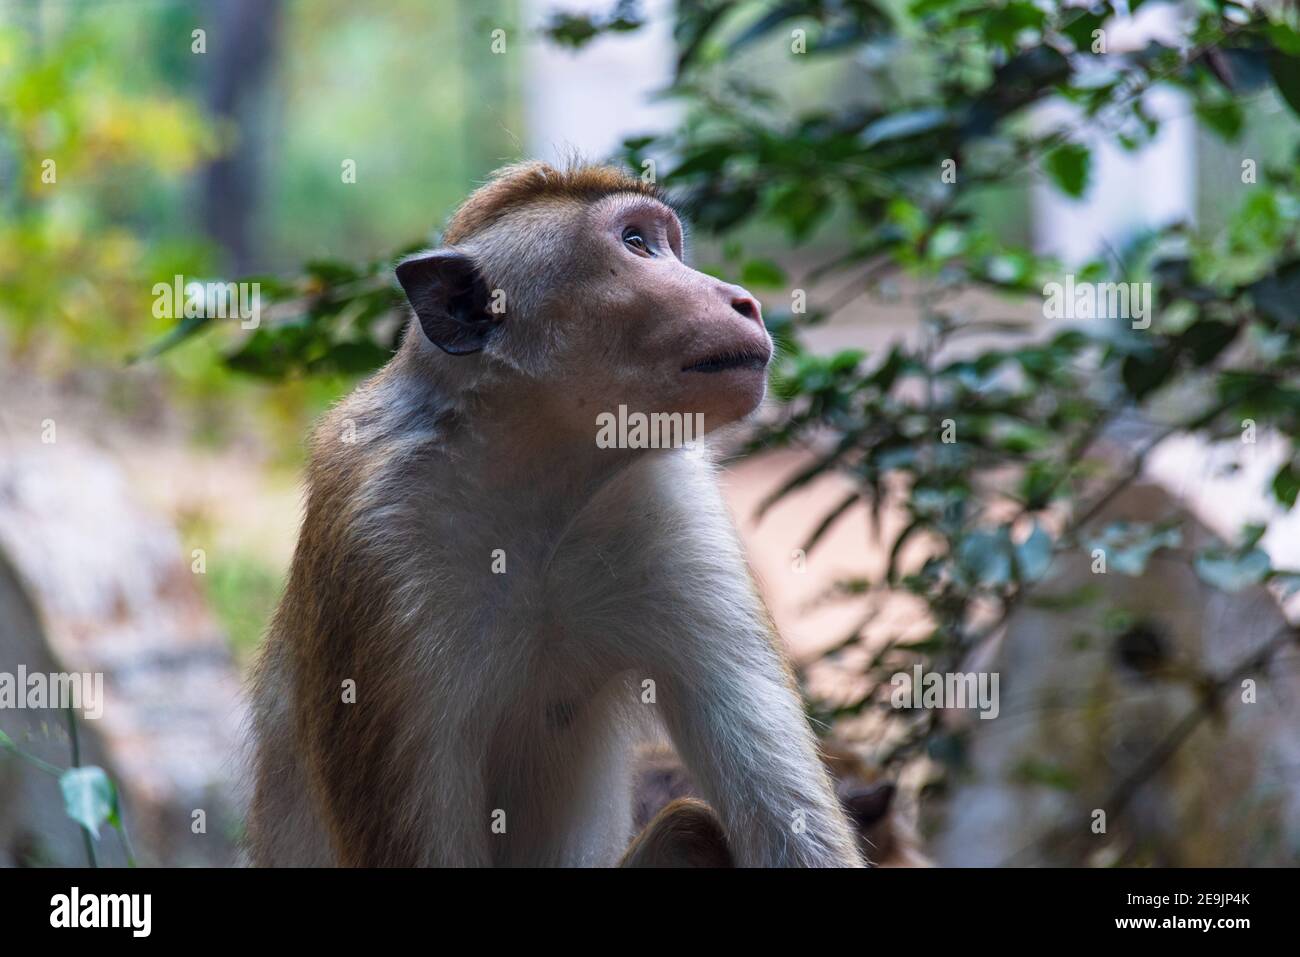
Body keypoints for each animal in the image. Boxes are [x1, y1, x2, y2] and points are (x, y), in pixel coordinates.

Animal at [246, 161, 863, 867]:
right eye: (636, 243)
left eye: (668, 244)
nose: (745, 302)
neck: (539, 480)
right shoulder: (372, 535)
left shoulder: (672, 504)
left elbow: (793, 829)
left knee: (691, 828)